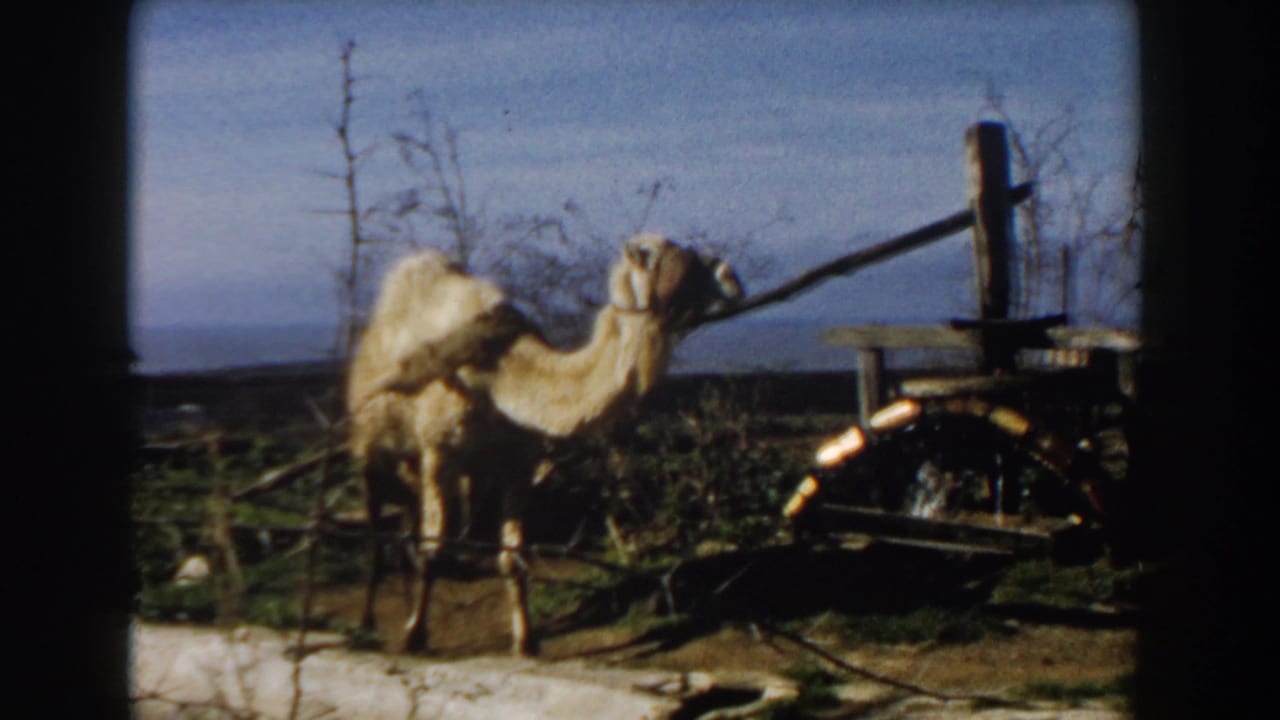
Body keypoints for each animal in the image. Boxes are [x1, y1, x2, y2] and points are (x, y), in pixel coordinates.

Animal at [346, 233, 743, 656]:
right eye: (682, 260)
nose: (732, 278)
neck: (501, 375)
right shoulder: (440, 451)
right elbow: (434, 551)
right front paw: (414, 637)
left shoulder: (519, 461)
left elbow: (513, 558)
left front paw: (527, 641)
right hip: (371, 447)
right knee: (378, 535)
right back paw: (367, 622)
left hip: (422, 466)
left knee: (407, 524)